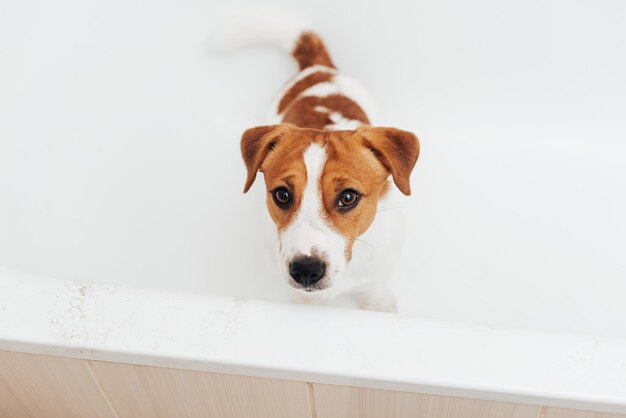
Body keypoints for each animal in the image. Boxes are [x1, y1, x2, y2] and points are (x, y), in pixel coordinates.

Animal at [211, 10, 420, 310]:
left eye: (348, 197)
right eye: (282, 195)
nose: (306, 270)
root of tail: (319, 68)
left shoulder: (374, 275)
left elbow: (374, 290)